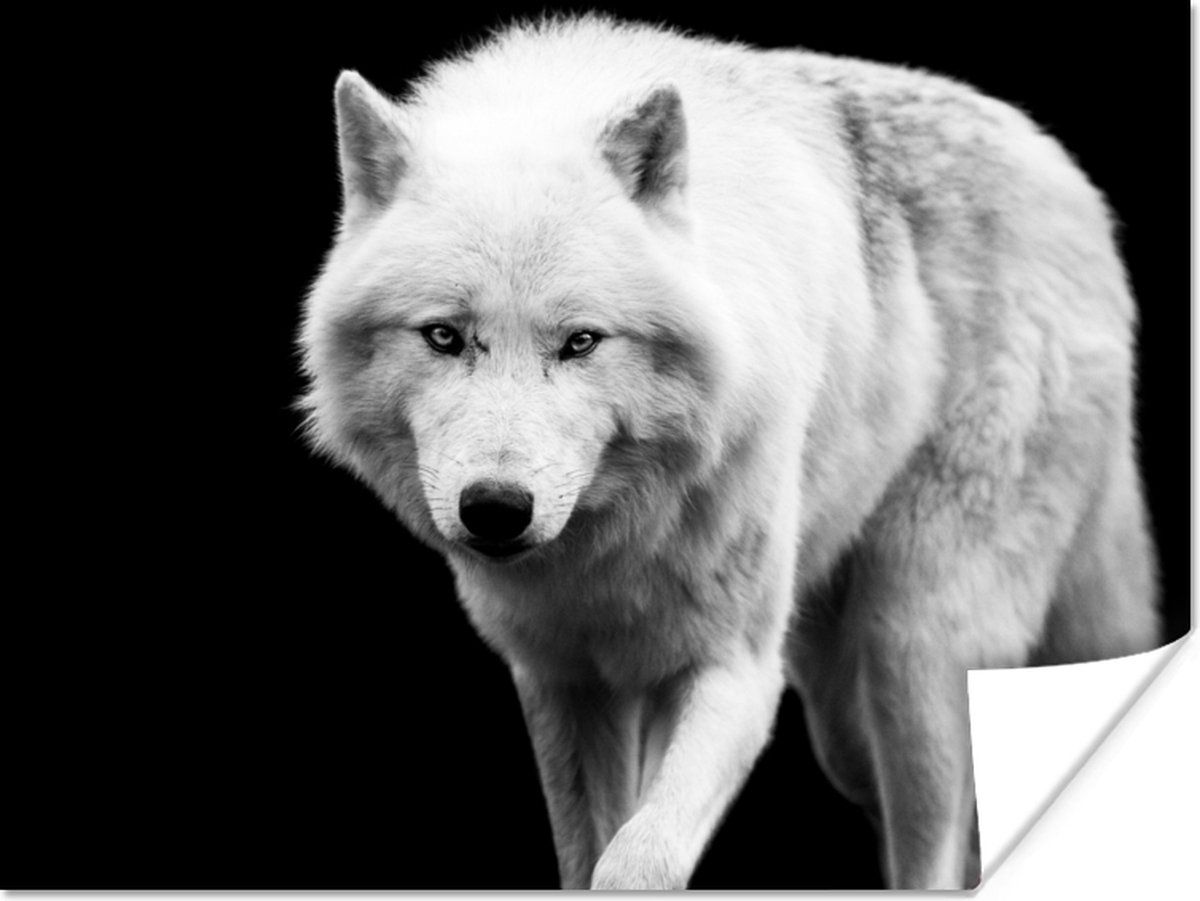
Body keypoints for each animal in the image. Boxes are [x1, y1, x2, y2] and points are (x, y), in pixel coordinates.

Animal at [298, 15, 1160, 890]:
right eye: (444, 336)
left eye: (581, 342)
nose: (497, 509)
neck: (614, 544)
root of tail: (1068, 178)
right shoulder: (564, 681)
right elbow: (588, 852)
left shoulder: (736, 671)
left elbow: (636, 860)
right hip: (842, 718)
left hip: (911, 648)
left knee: (938, 848)